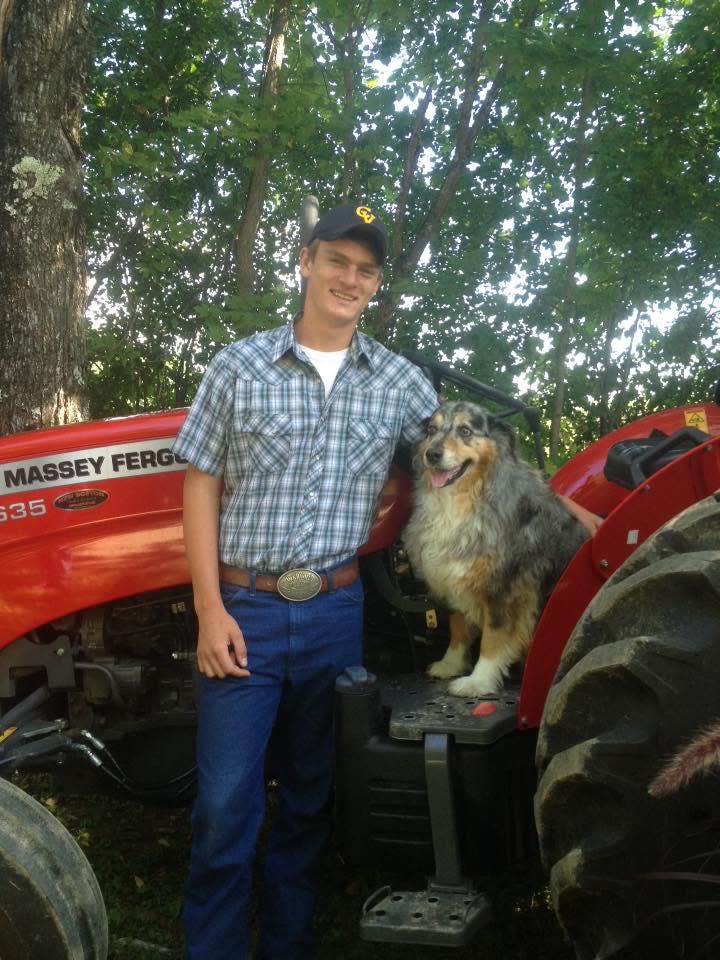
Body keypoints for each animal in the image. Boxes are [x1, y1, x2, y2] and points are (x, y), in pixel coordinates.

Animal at [402, 400, 588, 696]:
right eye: (431, 430)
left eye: (465, 430)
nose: (432, 454)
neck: (465, 499)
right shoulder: (453, 574)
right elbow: (457, 626)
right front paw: (450, 664)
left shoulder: (505, 588)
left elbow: (492, 638)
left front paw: (478, 681)